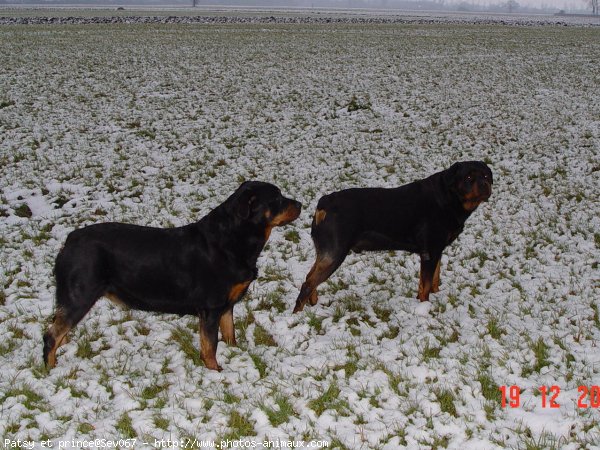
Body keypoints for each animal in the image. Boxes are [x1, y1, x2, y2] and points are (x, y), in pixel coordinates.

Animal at [44, 181, 302, 370]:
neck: (234, 238)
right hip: (80, 296)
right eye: (277, 199)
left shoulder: (227, 305)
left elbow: (230, 332)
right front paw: (215, 371)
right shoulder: (211, 308)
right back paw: (51, 369)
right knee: (51, 335)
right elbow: (210, 344)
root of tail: (69, 240)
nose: (300, 204)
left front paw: (237, 353)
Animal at [294, 162, 492, 312]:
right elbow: (426, 284)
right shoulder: (429, 251)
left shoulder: (437, 249)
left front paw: (435, 295)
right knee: (308, 283)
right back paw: (298, 314)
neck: (449, 197)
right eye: (468, 178)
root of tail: (323, 203)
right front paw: (425, 308)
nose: (485, 185)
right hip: (335, 253)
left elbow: (434, 278)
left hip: (326, 252)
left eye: (486, 176)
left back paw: (314, 304)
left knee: (310, 278)